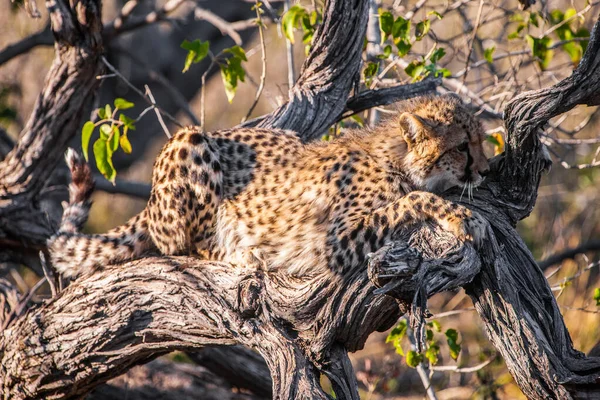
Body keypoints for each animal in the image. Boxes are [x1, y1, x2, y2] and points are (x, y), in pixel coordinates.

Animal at [49, 95, 490, 280]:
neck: (395, 156)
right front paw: (464, 218)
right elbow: (413, 199)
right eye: (463, 146)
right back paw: (244, 255)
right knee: (189, 245)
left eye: (481, 139)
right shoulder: (335, 242)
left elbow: (413, 196)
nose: (486, 170)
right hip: (190, 140)